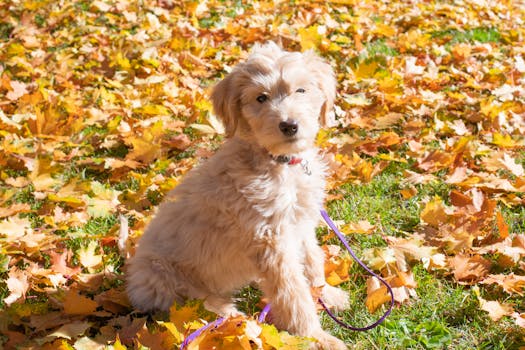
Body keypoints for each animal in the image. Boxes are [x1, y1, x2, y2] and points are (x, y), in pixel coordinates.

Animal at [125, 42, 350, 348]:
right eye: (261, 98)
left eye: (301, 90)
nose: (289, 125)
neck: (280, 164)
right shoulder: (270, 240)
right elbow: (293, 294)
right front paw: (315, 337)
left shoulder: (300, 225)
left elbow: (313, 262)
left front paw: (327, 294)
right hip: (168, 282)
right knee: (203, 309)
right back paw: (232, 316)